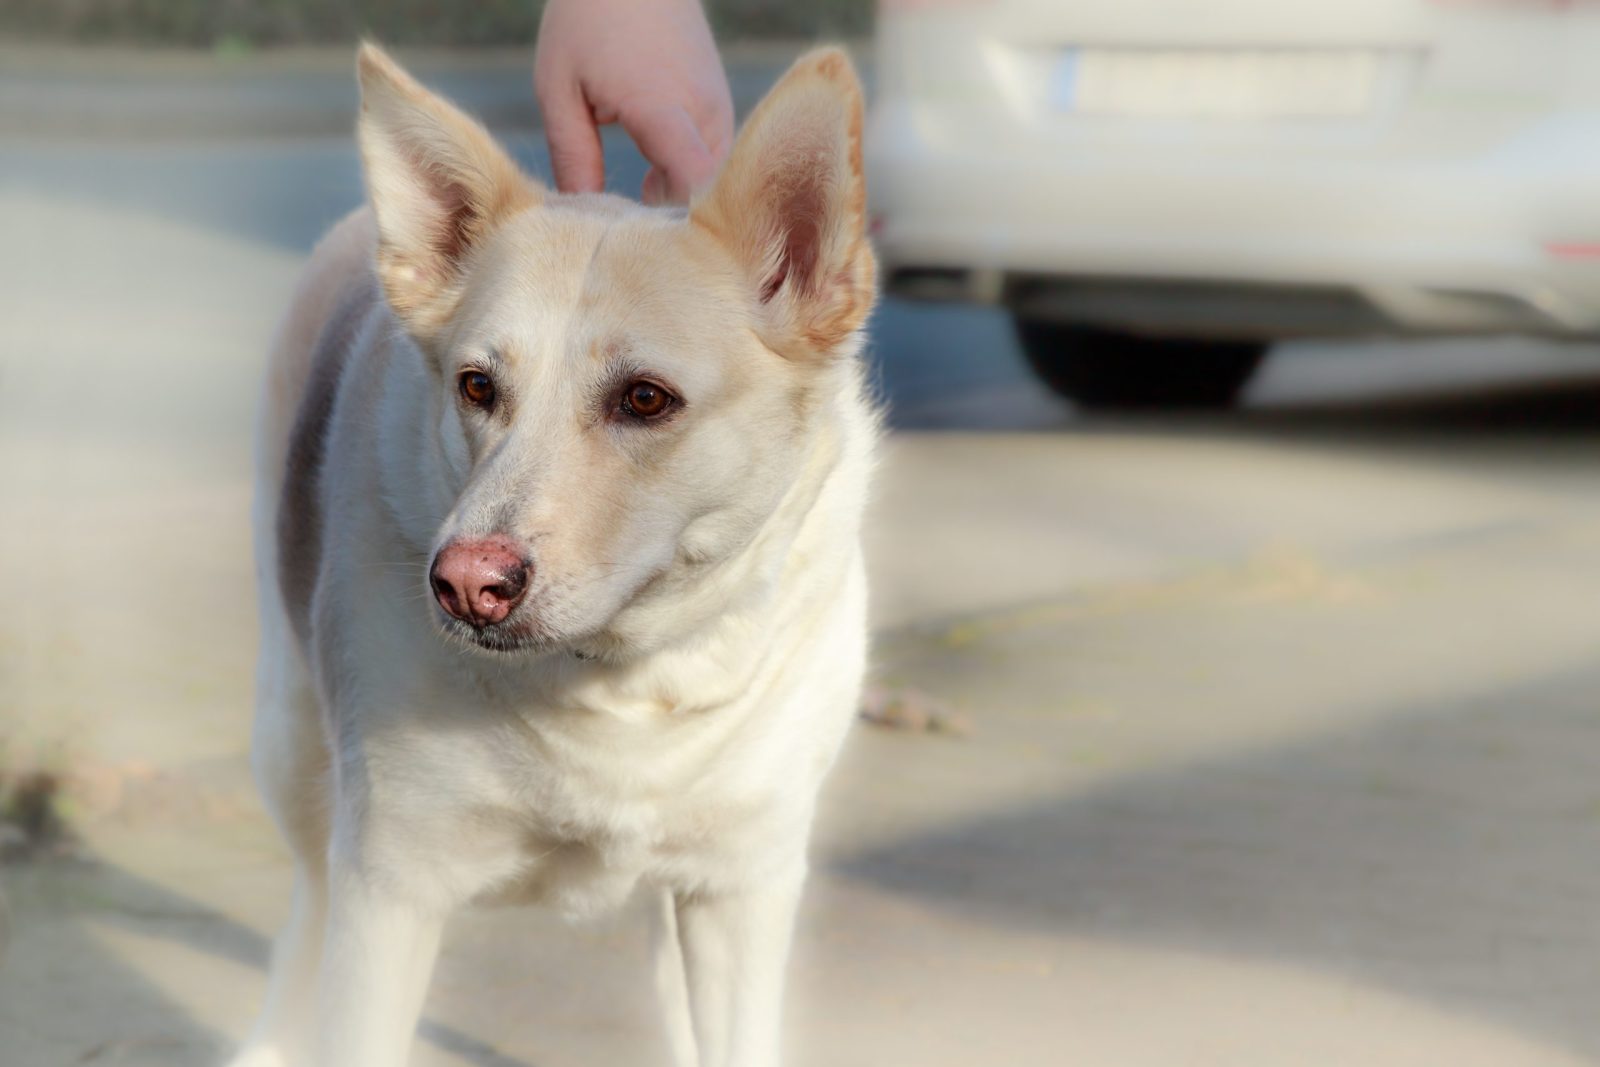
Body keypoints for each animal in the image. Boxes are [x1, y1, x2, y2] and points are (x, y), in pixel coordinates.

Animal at [230, 41, 876, 1067]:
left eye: (645, 399)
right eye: (476, 385)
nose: (464, 585)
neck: (617, 685)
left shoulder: (740, 886)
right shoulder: (386, 891)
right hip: (294, 751)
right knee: (305, 915)